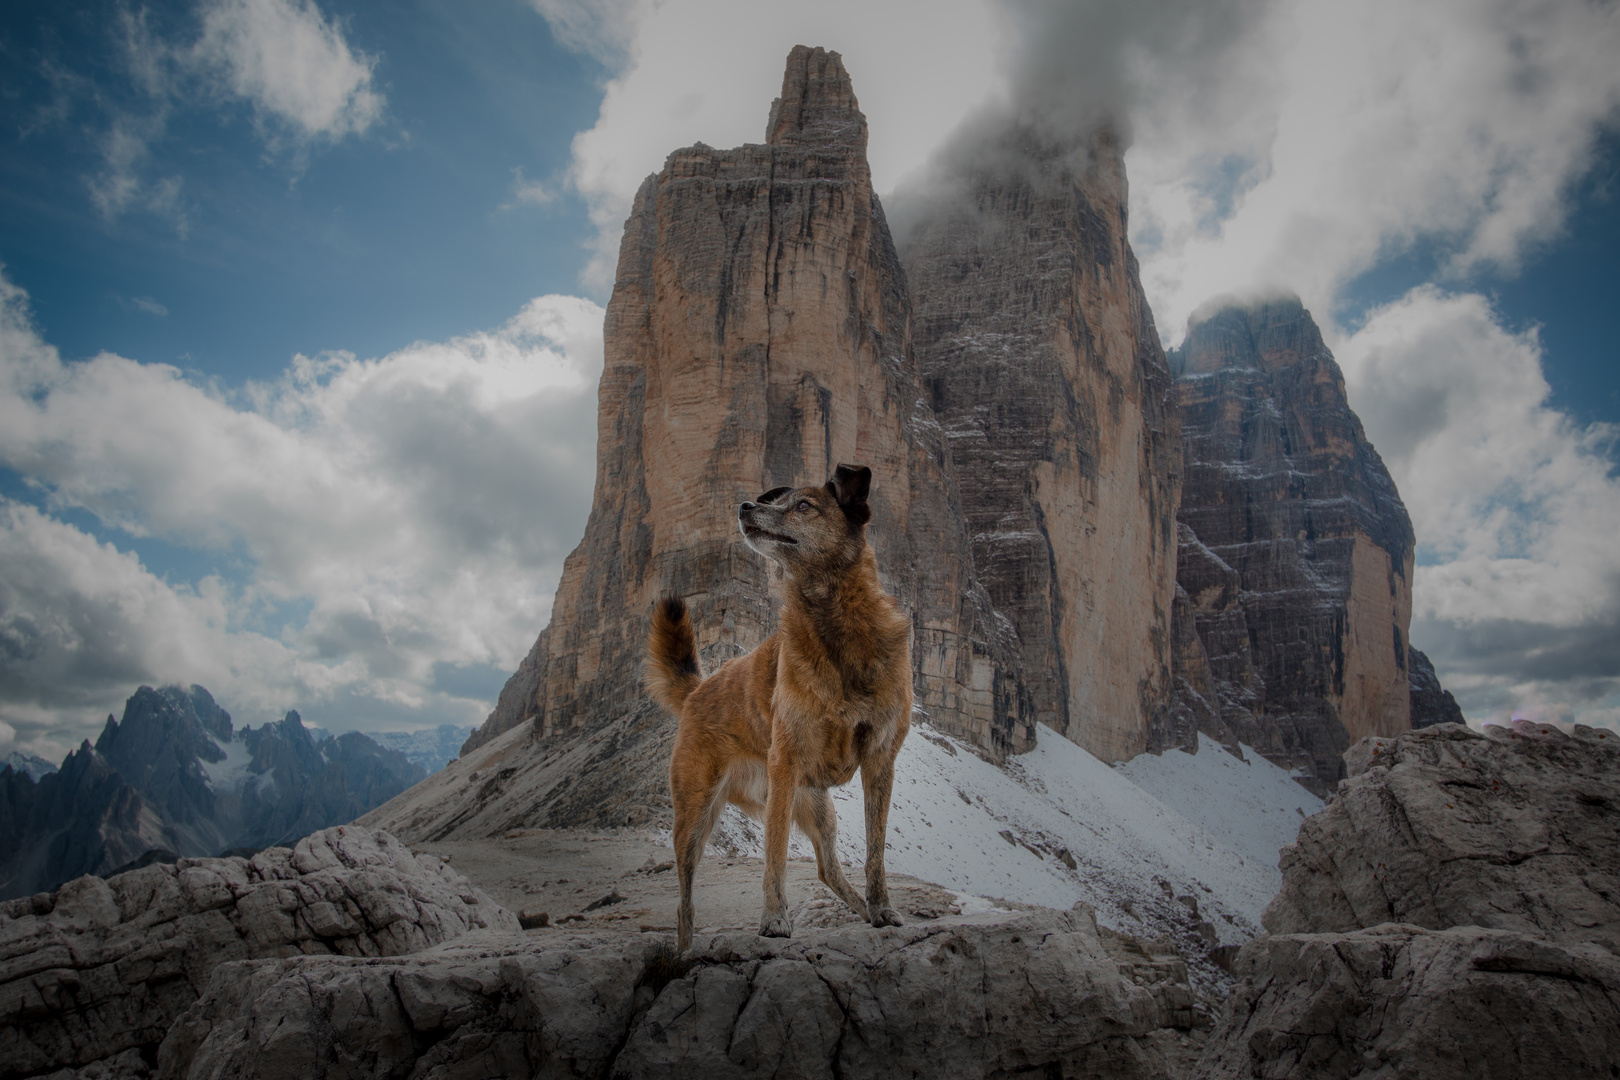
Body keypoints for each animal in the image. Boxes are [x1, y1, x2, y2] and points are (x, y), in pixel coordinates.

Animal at [644, 459, 913, 952]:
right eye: (776, 500)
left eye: (804, 506)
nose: (746, 505)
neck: (835, 624)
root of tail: (698, 690)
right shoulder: (785, 764)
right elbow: (775, 854)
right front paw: (773, 919)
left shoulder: (880, 760)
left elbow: (875, 850)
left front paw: (883, 908)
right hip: (697, 812)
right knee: (684, 899)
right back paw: (685, 948)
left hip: (818, 808)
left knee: (827, 868)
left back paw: (862, 910)